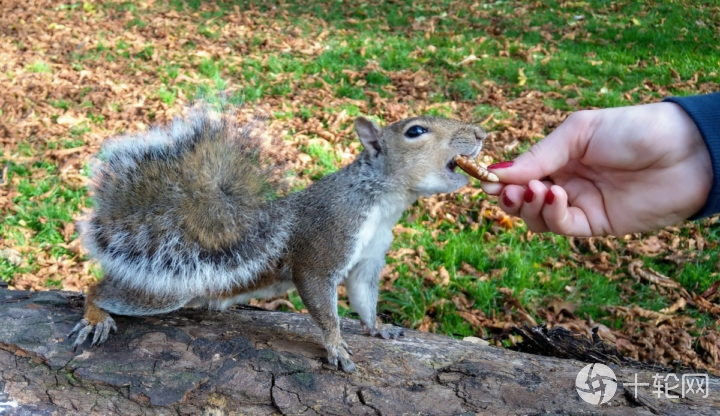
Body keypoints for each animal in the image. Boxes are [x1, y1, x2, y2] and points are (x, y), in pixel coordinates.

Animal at [70, 105, 486, 372]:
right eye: (415, 131)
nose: (482, 133)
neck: (383, 199)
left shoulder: (368, 261)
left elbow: (364, 299)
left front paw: (378, 327)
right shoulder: (324, 243)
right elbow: (322, 301)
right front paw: (336, 346)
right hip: (163, 293)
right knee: (99, 289)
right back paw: (95, 315)